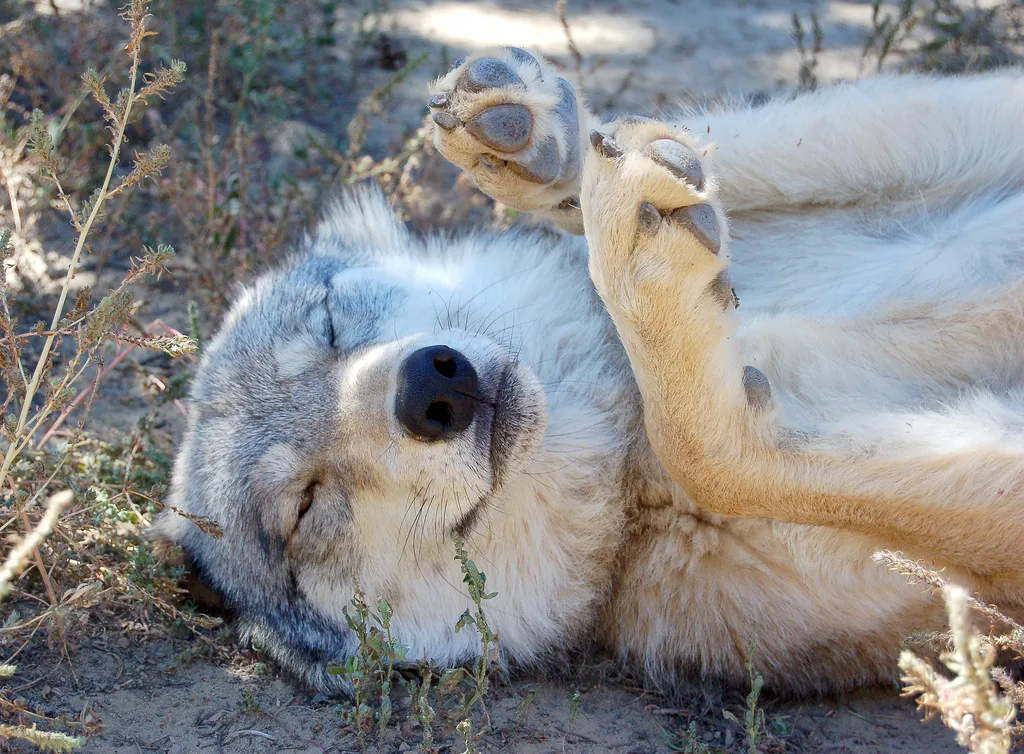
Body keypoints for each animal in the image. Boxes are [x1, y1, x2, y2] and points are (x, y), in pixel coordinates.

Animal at [152, 48, 1024, 695]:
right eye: (302, 507)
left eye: (333, 324)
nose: (431, 386)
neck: (618, 431)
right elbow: (711, 455)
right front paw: (657, 283)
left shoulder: (971, 112)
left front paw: (554, 150)